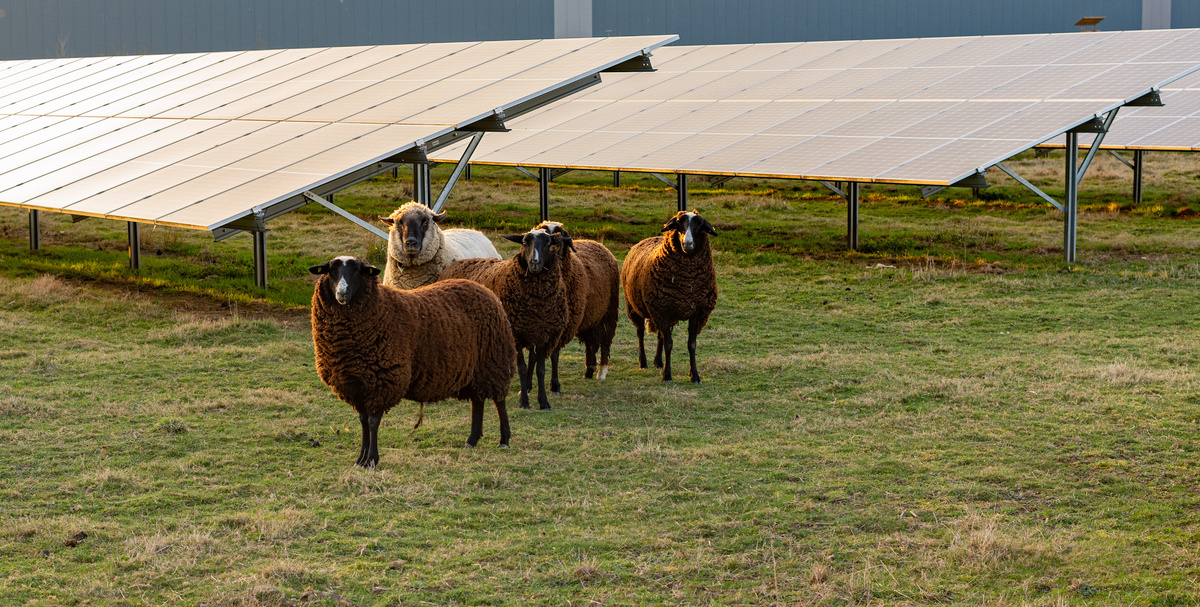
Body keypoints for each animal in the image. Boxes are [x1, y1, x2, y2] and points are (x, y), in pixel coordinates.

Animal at [309, 253, 516, 467]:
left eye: (357, 270)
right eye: (331, 270)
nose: (342, 293)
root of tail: (485, 290)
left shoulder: (383, 380)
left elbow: (373, 422)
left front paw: (372, 459)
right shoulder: (356, 385)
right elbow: (363, 421)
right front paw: (361, 459)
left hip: (494, 361)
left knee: (499, 401)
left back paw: (504, 439)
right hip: (475, 371)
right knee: (478, 401)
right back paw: (472, 440)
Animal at [441, 230, 571, 410]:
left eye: (547, 243)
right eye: (524, 242)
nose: (534, 263)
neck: (537, 305)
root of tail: (456, 262)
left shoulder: (543, 335)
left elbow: (540, 370)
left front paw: (544, 402)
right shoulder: (515, 335)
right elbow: (522, 369)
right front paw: (524, 401)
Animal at [540, 221, 624, 383]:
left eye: (560, 233)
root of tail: (596, 242)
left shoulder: (565, 324)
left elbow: (554, 354)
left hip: (609, 312)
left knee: (605, 342)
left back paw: (601, 372)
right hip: (590, 316)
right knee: (591, 344)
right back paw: (589, 370)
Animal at [624, 211, 715, 381]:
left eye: (700, 224)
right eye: (678, 223)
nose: (687, 244)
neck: (687, 284)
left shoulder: (696, 312)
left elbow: (691, 345)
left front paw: (694, 375)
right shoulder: (662, 310)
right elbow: (669, 344)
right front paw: (667, 375)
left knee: (660, 335)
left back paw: (658, 362)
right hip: (634, 307)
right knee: (640, 334)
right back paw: (643, 363)